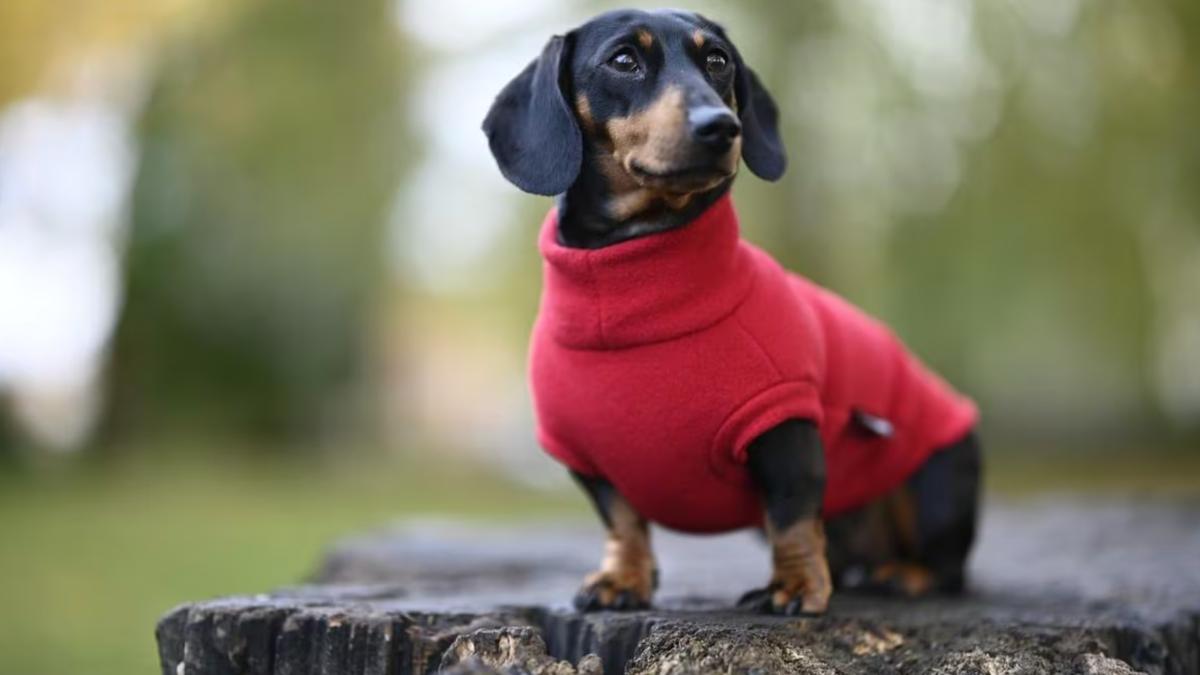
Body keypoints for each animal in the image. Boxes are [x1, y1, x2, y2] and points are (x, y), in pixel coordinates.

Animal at [482, 7, 979, 614]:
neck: (634, 289)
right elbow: (622, 521)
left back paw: (905, 574)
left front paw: (795, 586)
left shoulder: (785, 424)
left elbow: (792, 515)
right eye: (624, 60)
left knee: (948, 566)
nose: (721, 127)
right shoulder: (584, 457)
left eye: (717, 60)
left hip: (937, 479)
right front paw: (623, 579)